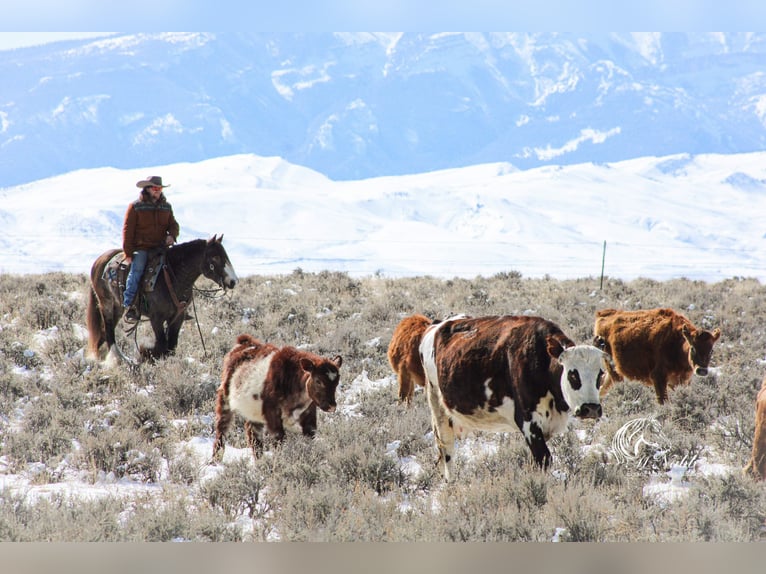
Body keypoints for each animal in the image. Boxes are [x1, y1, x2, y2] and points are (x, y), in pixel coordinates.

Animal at [87, 235, 238, 364]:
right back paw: (118, 358)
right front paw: (145, 352)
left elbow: (171, 347)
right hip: (106, 303)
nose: (233, 281)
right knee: (108, 329)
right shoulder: (156, 318)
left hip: (118, 307)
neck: (173, 277)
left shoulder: (178, 317)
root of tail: (100, 260)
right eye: (216, 257)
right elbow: (161, 345)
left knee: (104, 332)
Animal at [210, 332, 342, 464]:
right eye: (318, 381)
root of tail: (244, 342)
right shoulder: (272, 414)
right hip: (224, 400)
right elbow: (279, 440)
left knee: (253, 435)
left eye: (337, 382)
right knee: (221, 431)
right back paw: (215, 460)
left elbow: (310, 437)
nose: (331, 406)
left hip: (253, 411)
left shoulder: (309, 413)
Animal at [592, 310, 724, 404]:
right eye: (693, 348)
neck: (678, 344)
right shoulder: (658, 377)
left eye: (711, 350)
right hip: (614, 372)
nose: (701, 370)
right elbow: (663, 402)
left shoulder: (682, 381)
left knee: (603, 388)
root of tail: (603, 314)